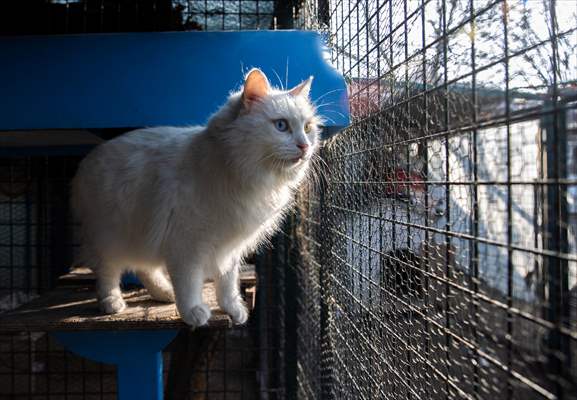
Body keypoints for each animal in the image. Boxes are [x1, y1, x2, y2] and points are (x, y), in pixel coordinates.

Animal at [72, 69, 320, 328]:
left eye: (307, 127)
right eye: (281, 126)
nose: (305, 146)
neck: (236, 170)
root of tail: (87, 161)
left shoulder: (229, 247)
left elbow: (227, 284)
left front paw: (233, 310)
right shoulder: (186, 245)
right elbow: (189, 284)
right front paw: (193, 312)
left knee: (144, 268)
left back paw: (164, 292)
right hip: (110, 236)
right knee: (108, 271)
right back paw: (112, 303)